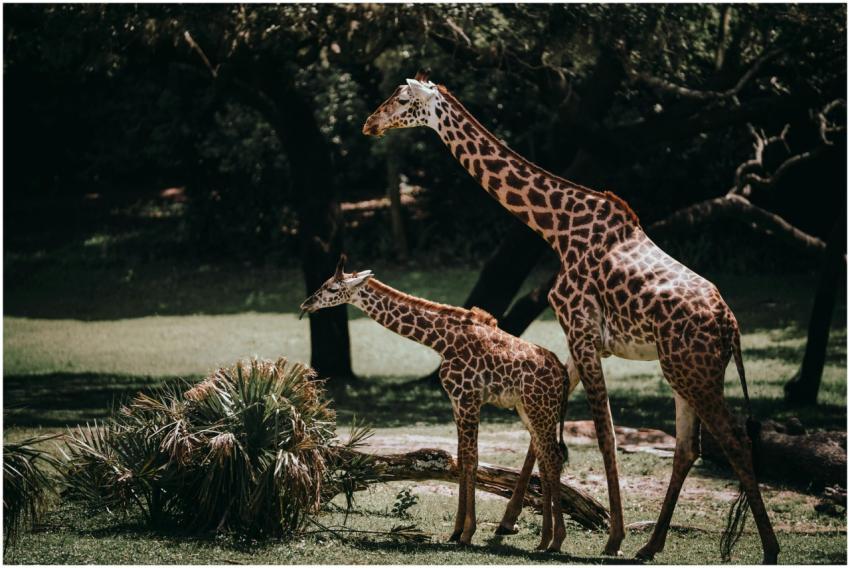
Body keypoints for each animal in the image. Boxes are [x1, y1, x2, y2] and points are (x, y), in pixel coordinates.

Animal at [300, 255, 581, 551]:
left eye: (331, 288)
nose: (306, 304)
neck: (441, 342)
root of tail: (562, 375)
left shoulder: (468, 398)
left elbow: (472, 459)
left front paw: (467, 533)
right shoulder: (456, 401)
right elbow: (461, 458)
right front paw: (456, 532)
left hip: (540, 409)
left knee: (552, 457)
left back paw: (556, 540)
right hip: (530, 410)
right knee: (546, 459)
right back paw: (545, 540)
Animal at [362, 72, 779, 563]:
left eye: (401, 99)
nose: (370, 124)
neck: (556, 228)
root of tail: (731, 328)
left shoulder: (579, 329)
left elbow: (603, 434)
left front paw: (610, 536)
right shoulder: (583, 339)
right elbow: (545, 435)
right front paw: (510, 525)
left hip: (693, 370)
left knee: (733, 440)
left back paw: (767, 548)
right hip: (683, 370)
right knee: (687, 448)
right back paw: (650, 545)